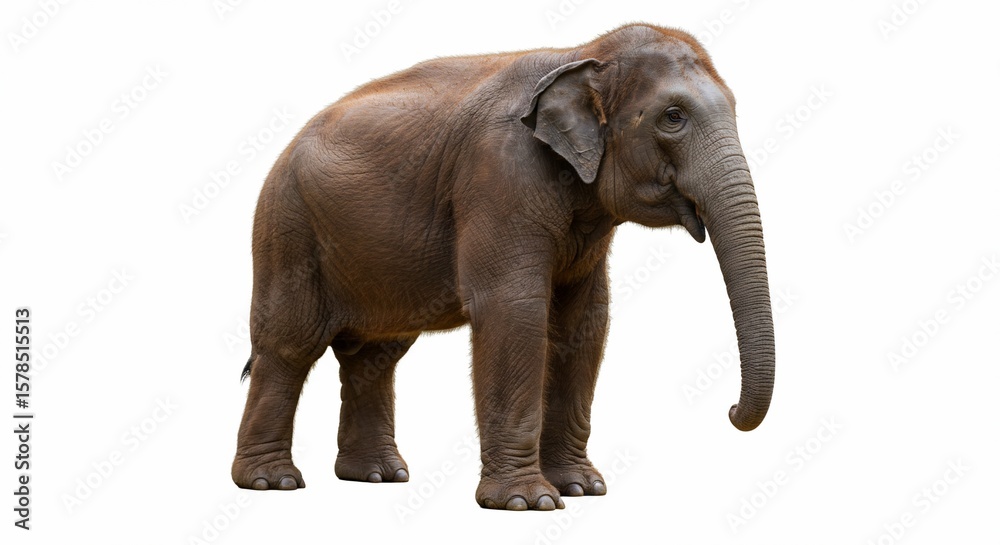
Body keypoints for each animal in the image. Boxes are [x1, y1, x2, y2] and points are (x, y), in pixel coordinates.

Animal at [232, 23, 775, 511]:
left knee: (376, 355)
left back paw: (377, 477)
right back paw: (271, 483)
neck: (581, 52)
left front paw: (583, 490)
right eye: (673, 116)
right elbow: (514, 310)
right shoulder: (499, 176)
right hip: (287, 230)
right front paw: (527, 502)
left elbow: (586, 322)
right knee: (288, 344)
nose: (730, 410)